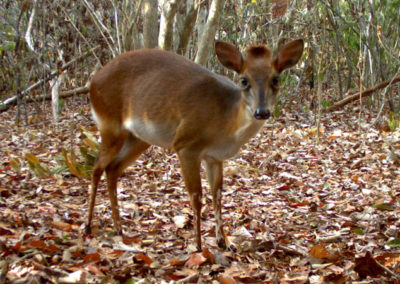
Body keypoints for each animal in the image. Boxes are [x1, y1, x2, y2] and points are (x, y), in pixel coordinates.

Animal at [86, 38, 304, 250]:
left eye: (276, 79)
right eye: (244, 80)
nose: (262, 112)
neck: (226, 124)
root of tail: (93, 80)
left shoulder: (215, 157)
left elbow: (217, 195)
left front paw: (225, 242)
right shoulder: (186, 145)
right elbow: (196, 196)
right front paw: (198, 245)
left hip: (138, 138)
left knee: (112, 169)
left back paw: (118, 227)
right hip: (110, 124)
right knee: (97, 169)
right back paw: (88, 226)